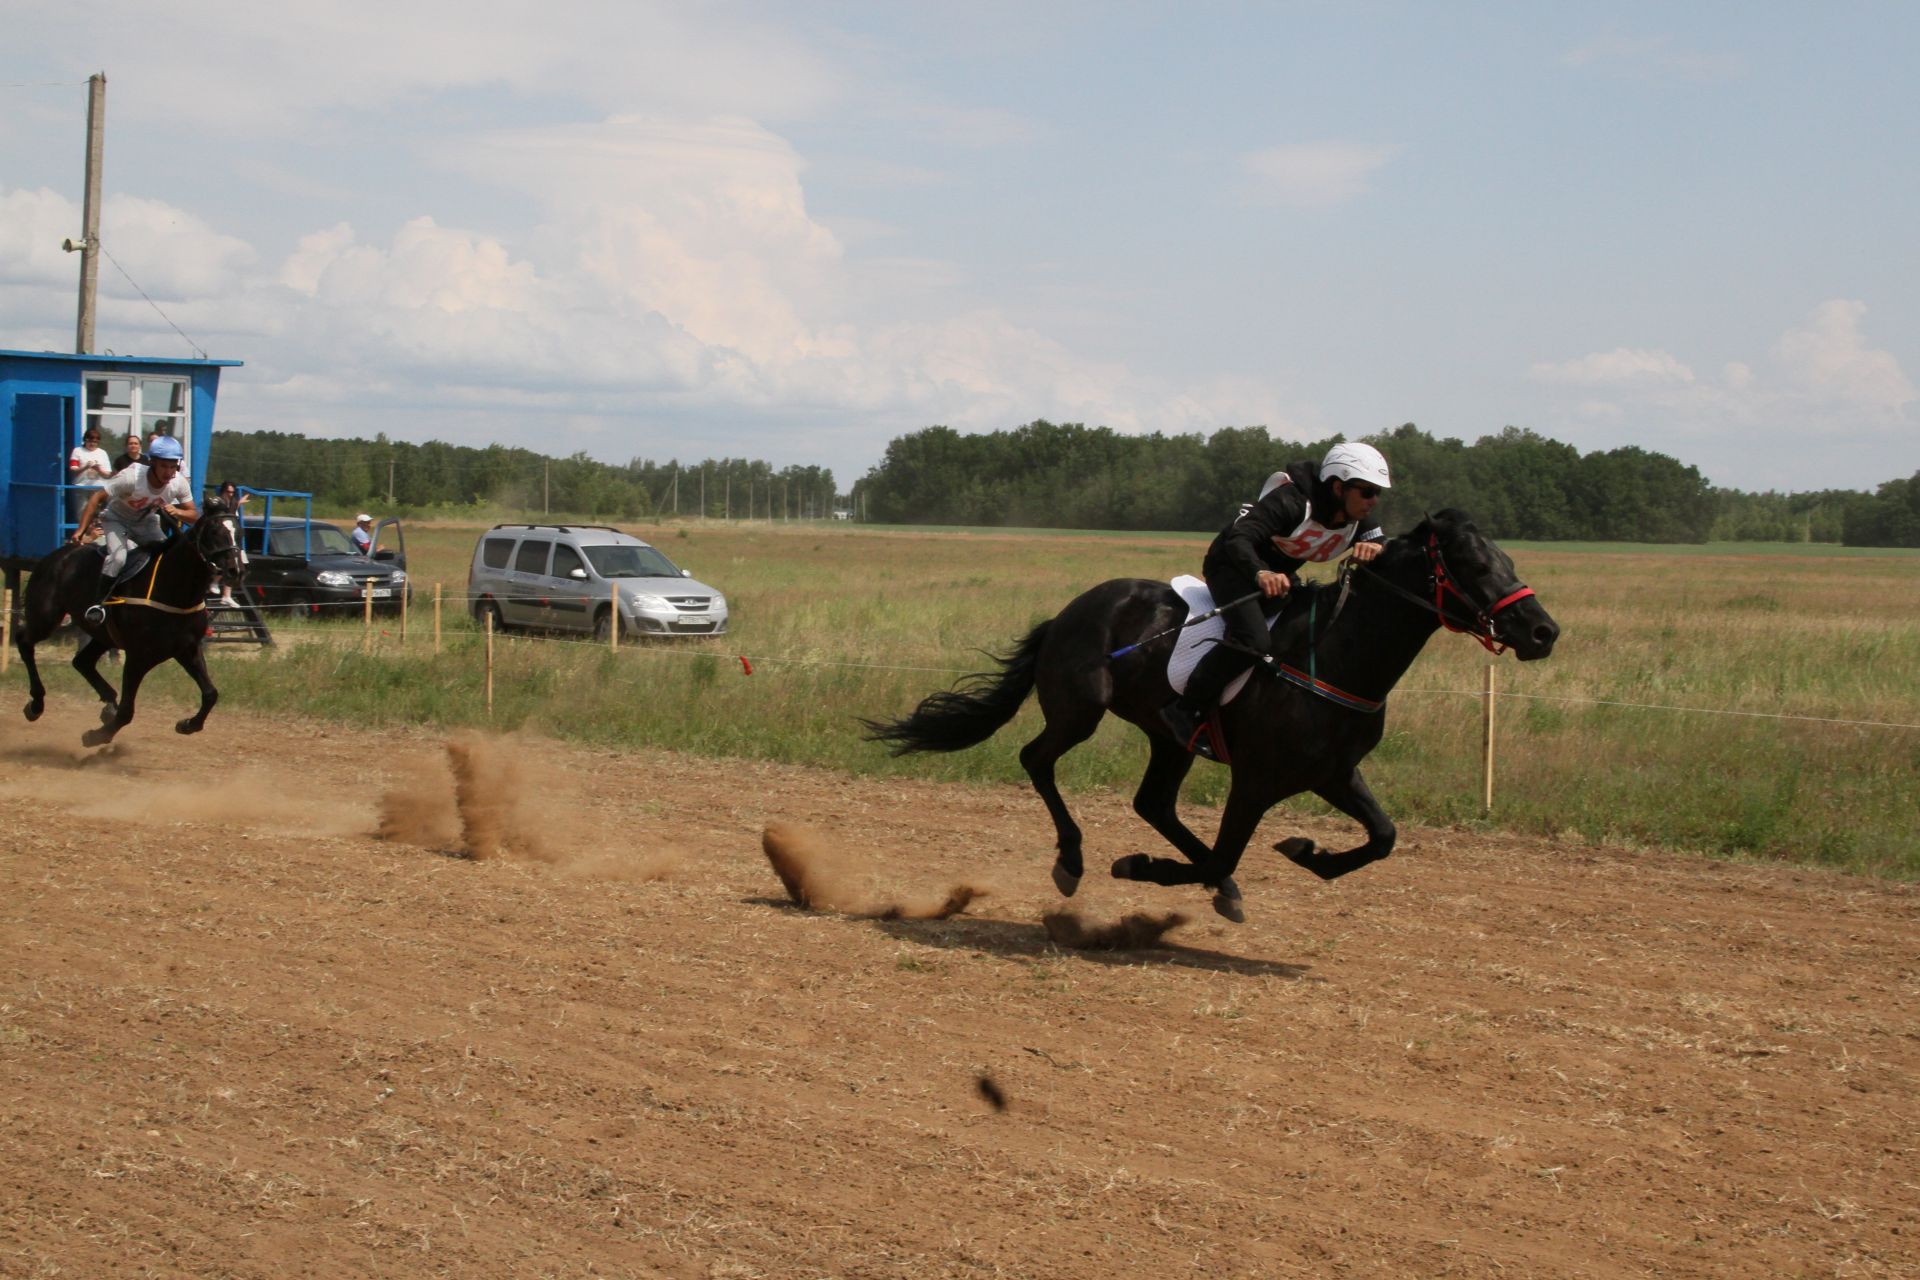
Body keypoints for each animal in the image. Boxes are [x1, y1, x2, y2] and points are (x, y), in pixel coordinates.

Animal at [16, 495, 245, 744]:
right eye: (214, 531)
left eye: (239, 531)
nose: (236, 570)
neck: (174, 590)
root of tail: (59, 555)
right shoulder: (138, 657)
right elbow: (127, 711)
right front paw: (97, 736)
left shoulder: (188, 649)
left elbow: (211, 694)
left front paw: (187, 724)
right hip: (45, 617)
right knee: (24, 641)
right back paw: (36, 704)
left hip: (103, 636)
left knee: (82, 661)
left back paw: (107, 705)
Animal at [871, 506, 1559, 921]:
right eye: (1474, 564)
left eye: (1510, 561)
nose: (1543, 631)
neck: (1335, 656)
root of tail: (1071, 610)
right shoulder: (1255, 780)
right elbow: (1225, 854)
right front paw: (1143, 867)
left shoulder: (1333, 773)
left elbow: (1384, 837)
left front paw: (1307, 853)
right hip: (1079, 711)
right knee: (1036, 758)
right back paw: (1072, 860)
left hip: (1167, 738)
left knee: (1153, 802)